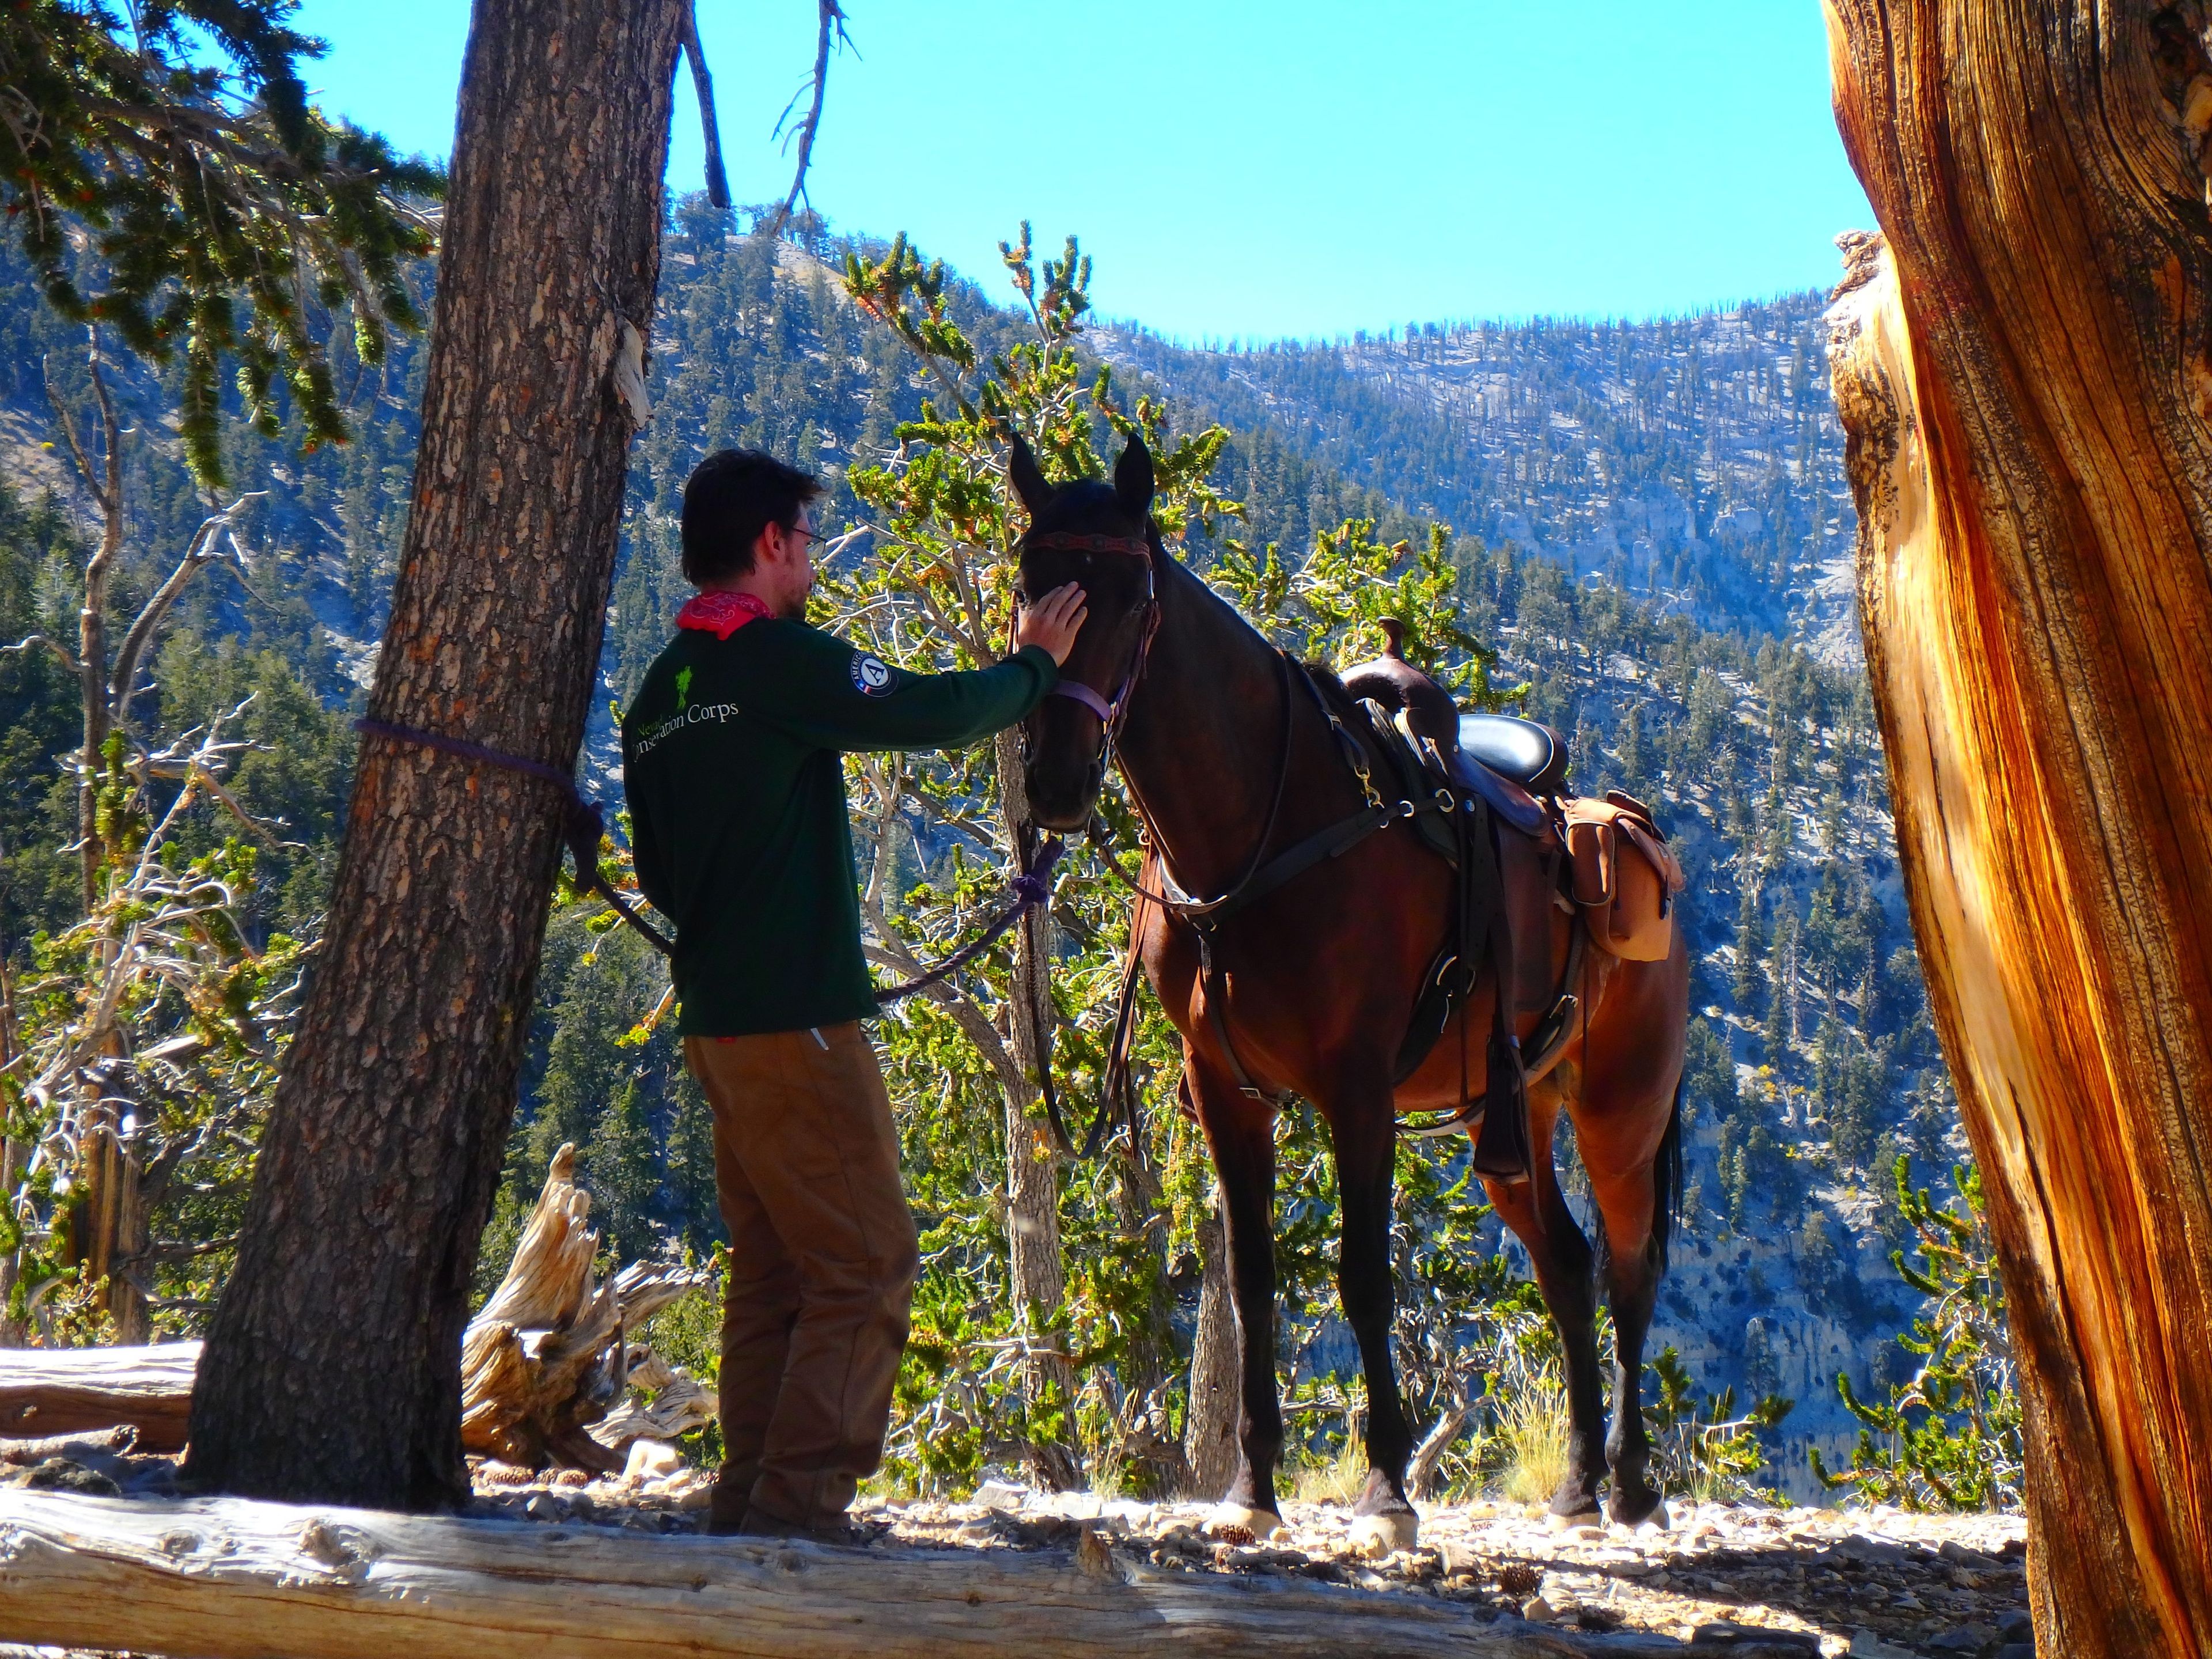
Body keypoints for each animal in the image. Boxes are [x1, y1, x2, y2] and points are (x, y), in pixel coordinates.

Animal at [1013, 435, 1690, 1557]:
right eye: (1026, 588)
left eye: (1131, 600)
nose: (1055, 785)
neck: (1265, 828)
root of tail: (1630, 828)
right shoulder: (1226, 1090)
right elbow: (1249, 1282)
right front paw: (1251, 1486)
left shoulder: (1358, 1089)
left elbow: (1363, 1278)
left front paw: (1386, 1491)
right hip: (1519, 1114)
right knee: (1567, 1263)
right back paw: (1580, 1484)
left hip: (1620, 1113)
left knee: (1630, 1270)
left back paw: (1634, 1486)